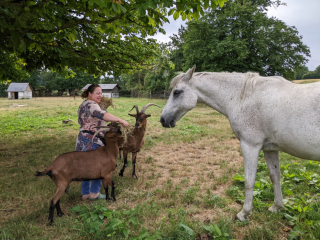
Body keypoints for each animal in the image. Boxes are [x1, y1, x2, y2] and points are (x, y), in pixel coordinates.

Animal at [161, 65, 320, 221]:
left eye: (177, 92)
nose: (163, 120)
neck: (243, 98)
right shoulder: (270, 149)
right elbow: (275, 176)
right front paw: (276, 207)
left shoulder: (250, 146)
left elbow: (249, 180)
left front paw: (244, 214)